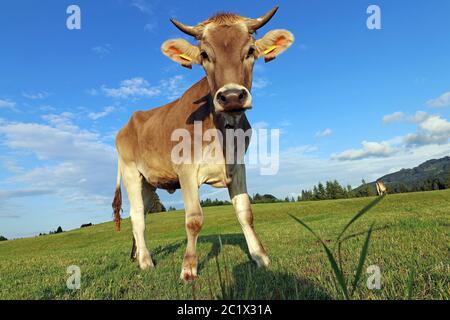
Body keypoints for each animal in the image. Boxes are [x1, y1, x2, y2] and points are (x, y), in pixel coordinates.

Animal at [112, 5, 296, 280]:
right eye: (204, 54)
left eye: (250, 51)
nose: (232, 96)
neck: (223, 132)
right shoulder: (186, 169)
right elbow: (194, 218)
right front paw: (188, 268)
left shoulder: (238, 166)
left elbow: (245, 212)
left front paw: (260, 256)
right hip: (131, 172)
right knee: (137, 218)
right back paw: (145, 262)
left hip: (148, 182)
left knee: (141, 213)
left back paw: (137, 255)